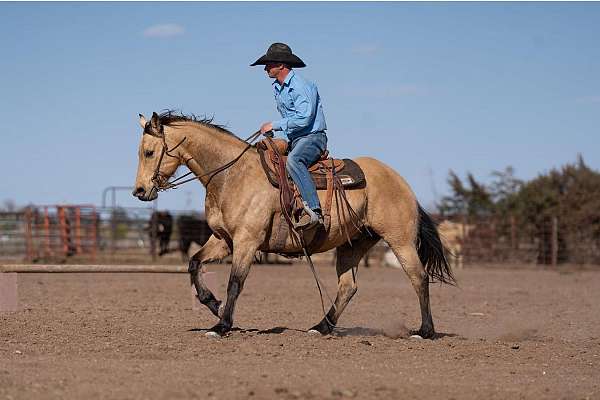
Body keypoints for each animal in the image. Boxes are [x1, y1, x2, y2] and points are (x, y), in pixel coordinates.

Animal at [132, 110, 454, 338]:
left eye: (149, 152)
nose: (139, 191)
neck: (231, 175)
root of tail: (402, 182)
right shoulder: (224, 240)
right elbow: (194, 264)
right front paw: (214, 305)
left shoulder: (247, 241)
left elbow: (235, 282)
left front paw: (222, 325)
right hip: (354, 243)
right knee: (348, 286)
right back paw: (321, 326)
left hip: (400, 240)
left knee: (419, 277)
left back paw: (425, 331)